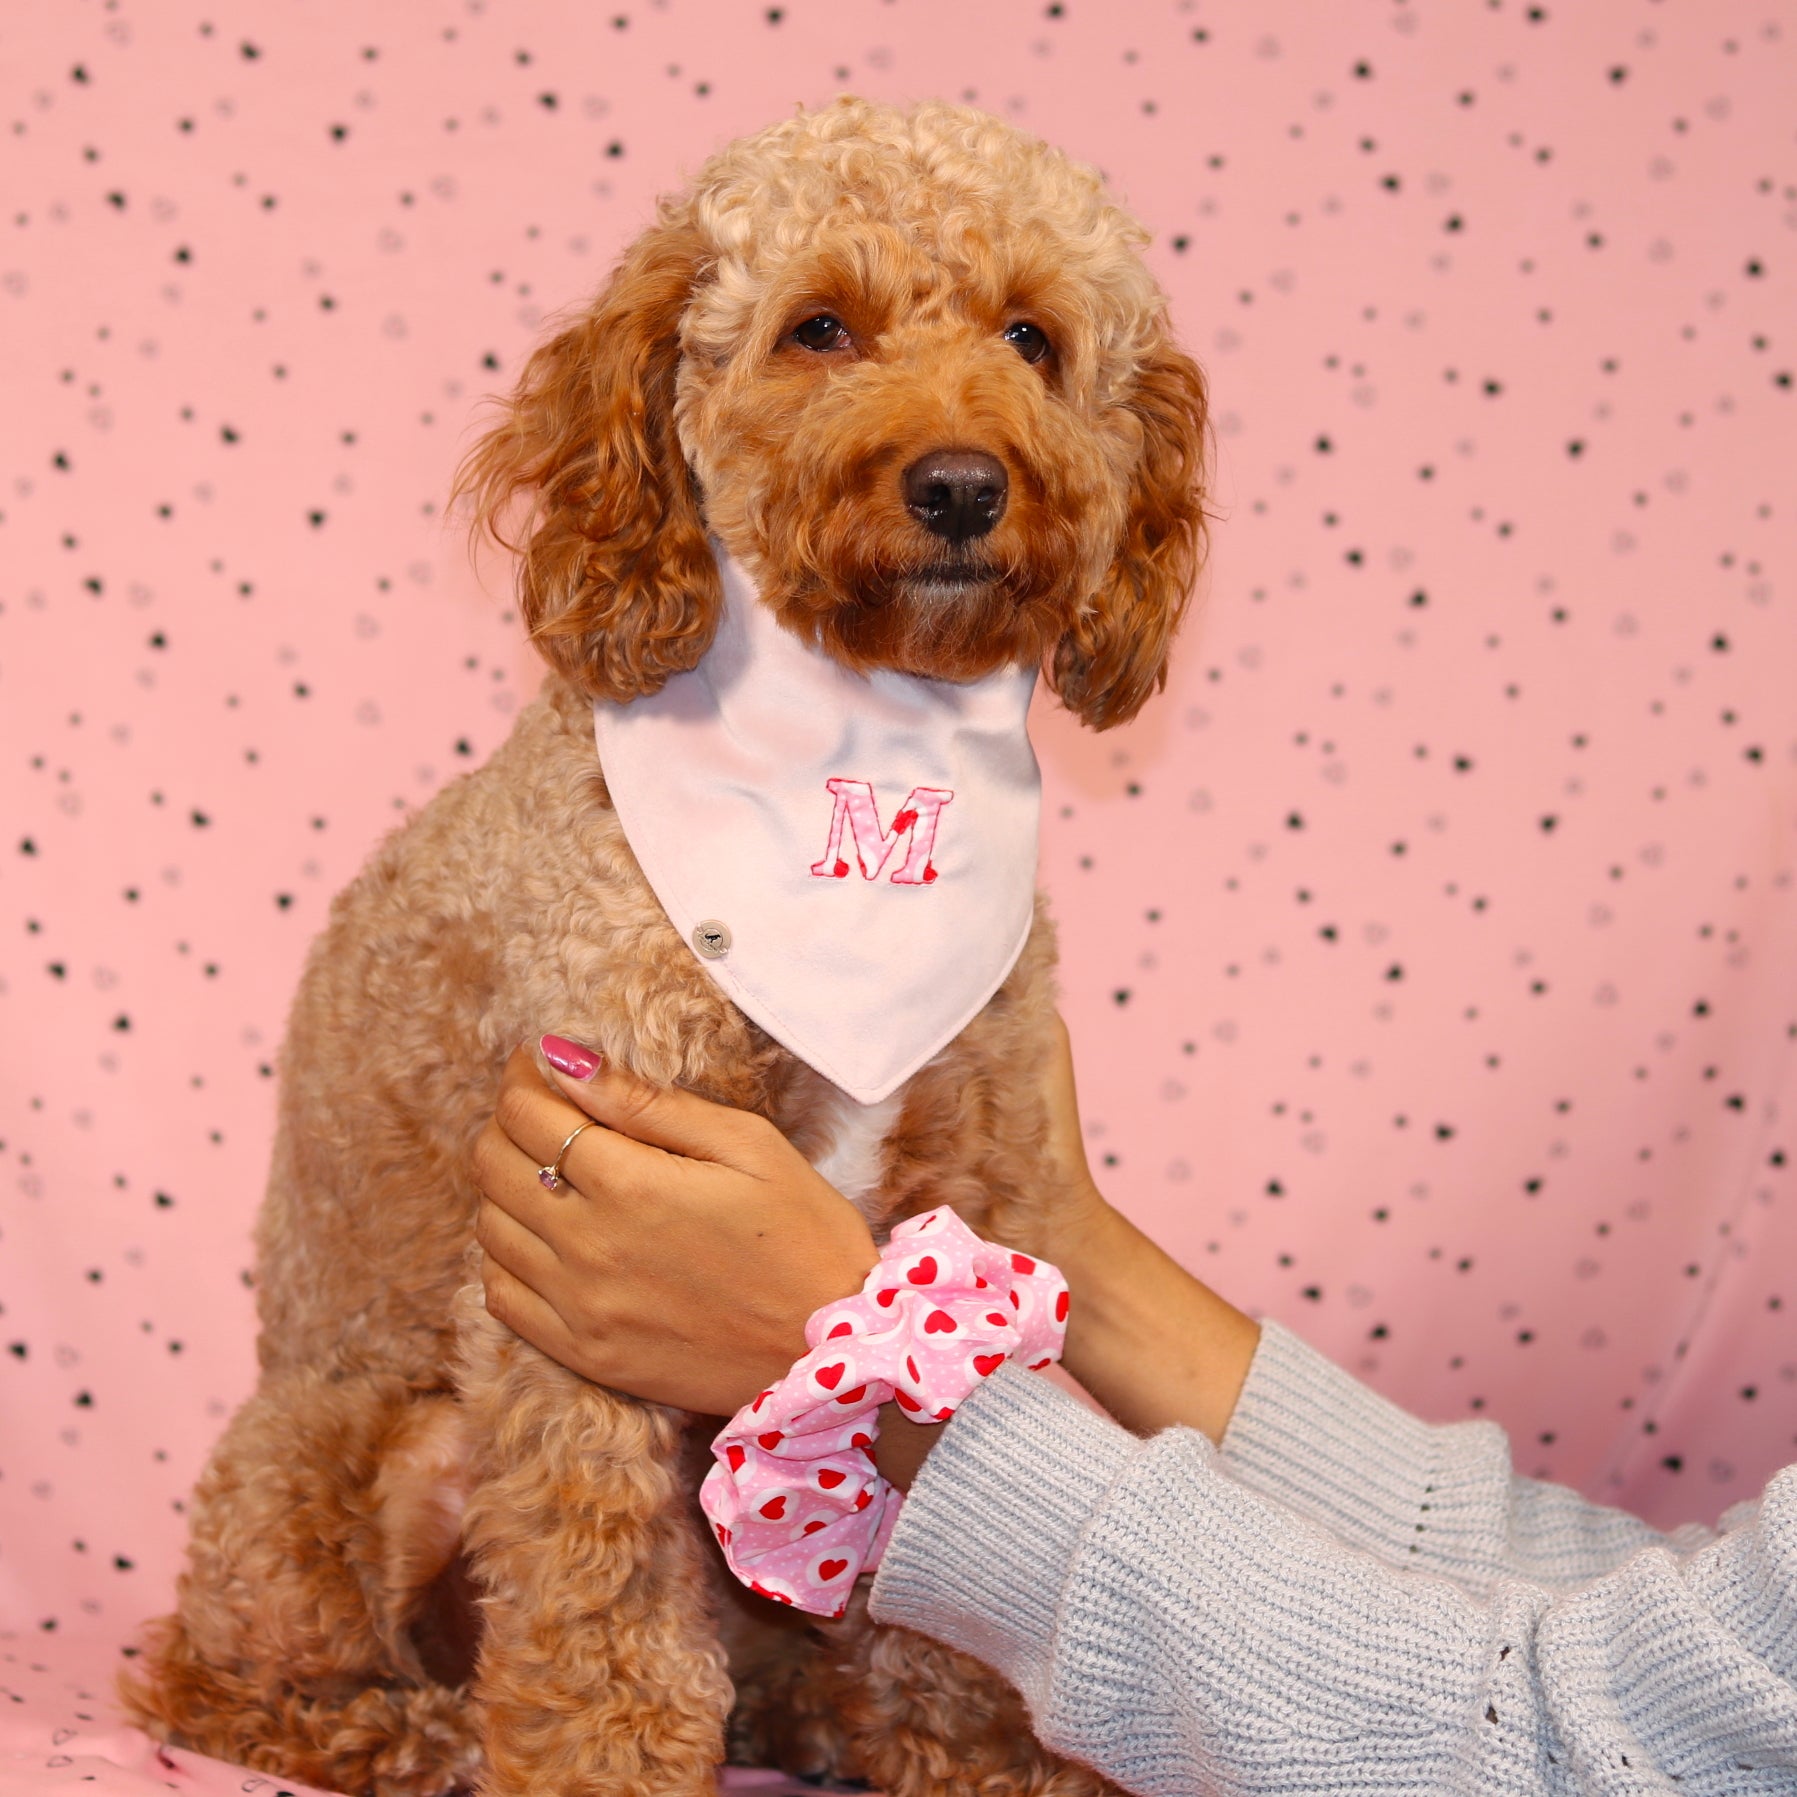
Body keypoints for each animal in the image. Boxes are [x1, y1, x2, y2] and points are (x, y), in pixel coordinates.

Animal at [123, 98, 1207, 1797]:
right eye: (818, 327)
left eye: (1032, 337)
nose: (963, 486)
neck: (860, 768)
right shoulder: (568, 1248)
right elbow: (596, 1573)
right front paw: (607, 1761)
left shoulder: (975, 1198)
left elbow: (943, 1527)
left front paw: (971, 1745)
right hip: (331, 1456)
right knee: (223, 1673)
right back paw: (412, 1729)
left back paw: (812, 1711)